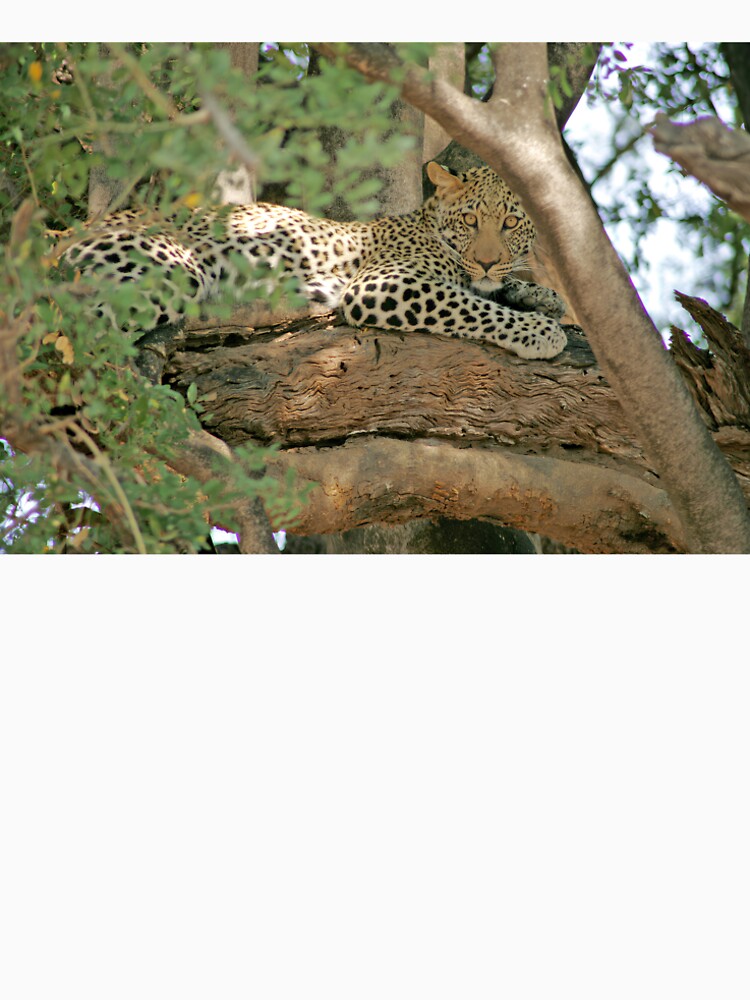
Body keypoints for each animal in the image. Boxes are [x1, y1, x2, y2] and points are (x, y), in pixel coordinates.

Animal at [61, 161, 568, 360]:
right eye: (470, 219)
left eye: (510, 223)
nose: (486, 261)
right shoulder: (382, 283)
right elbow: (473, 306)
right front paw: (541, 332)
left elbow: (493, 290)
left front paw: (544, 297)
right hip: (171, 271)